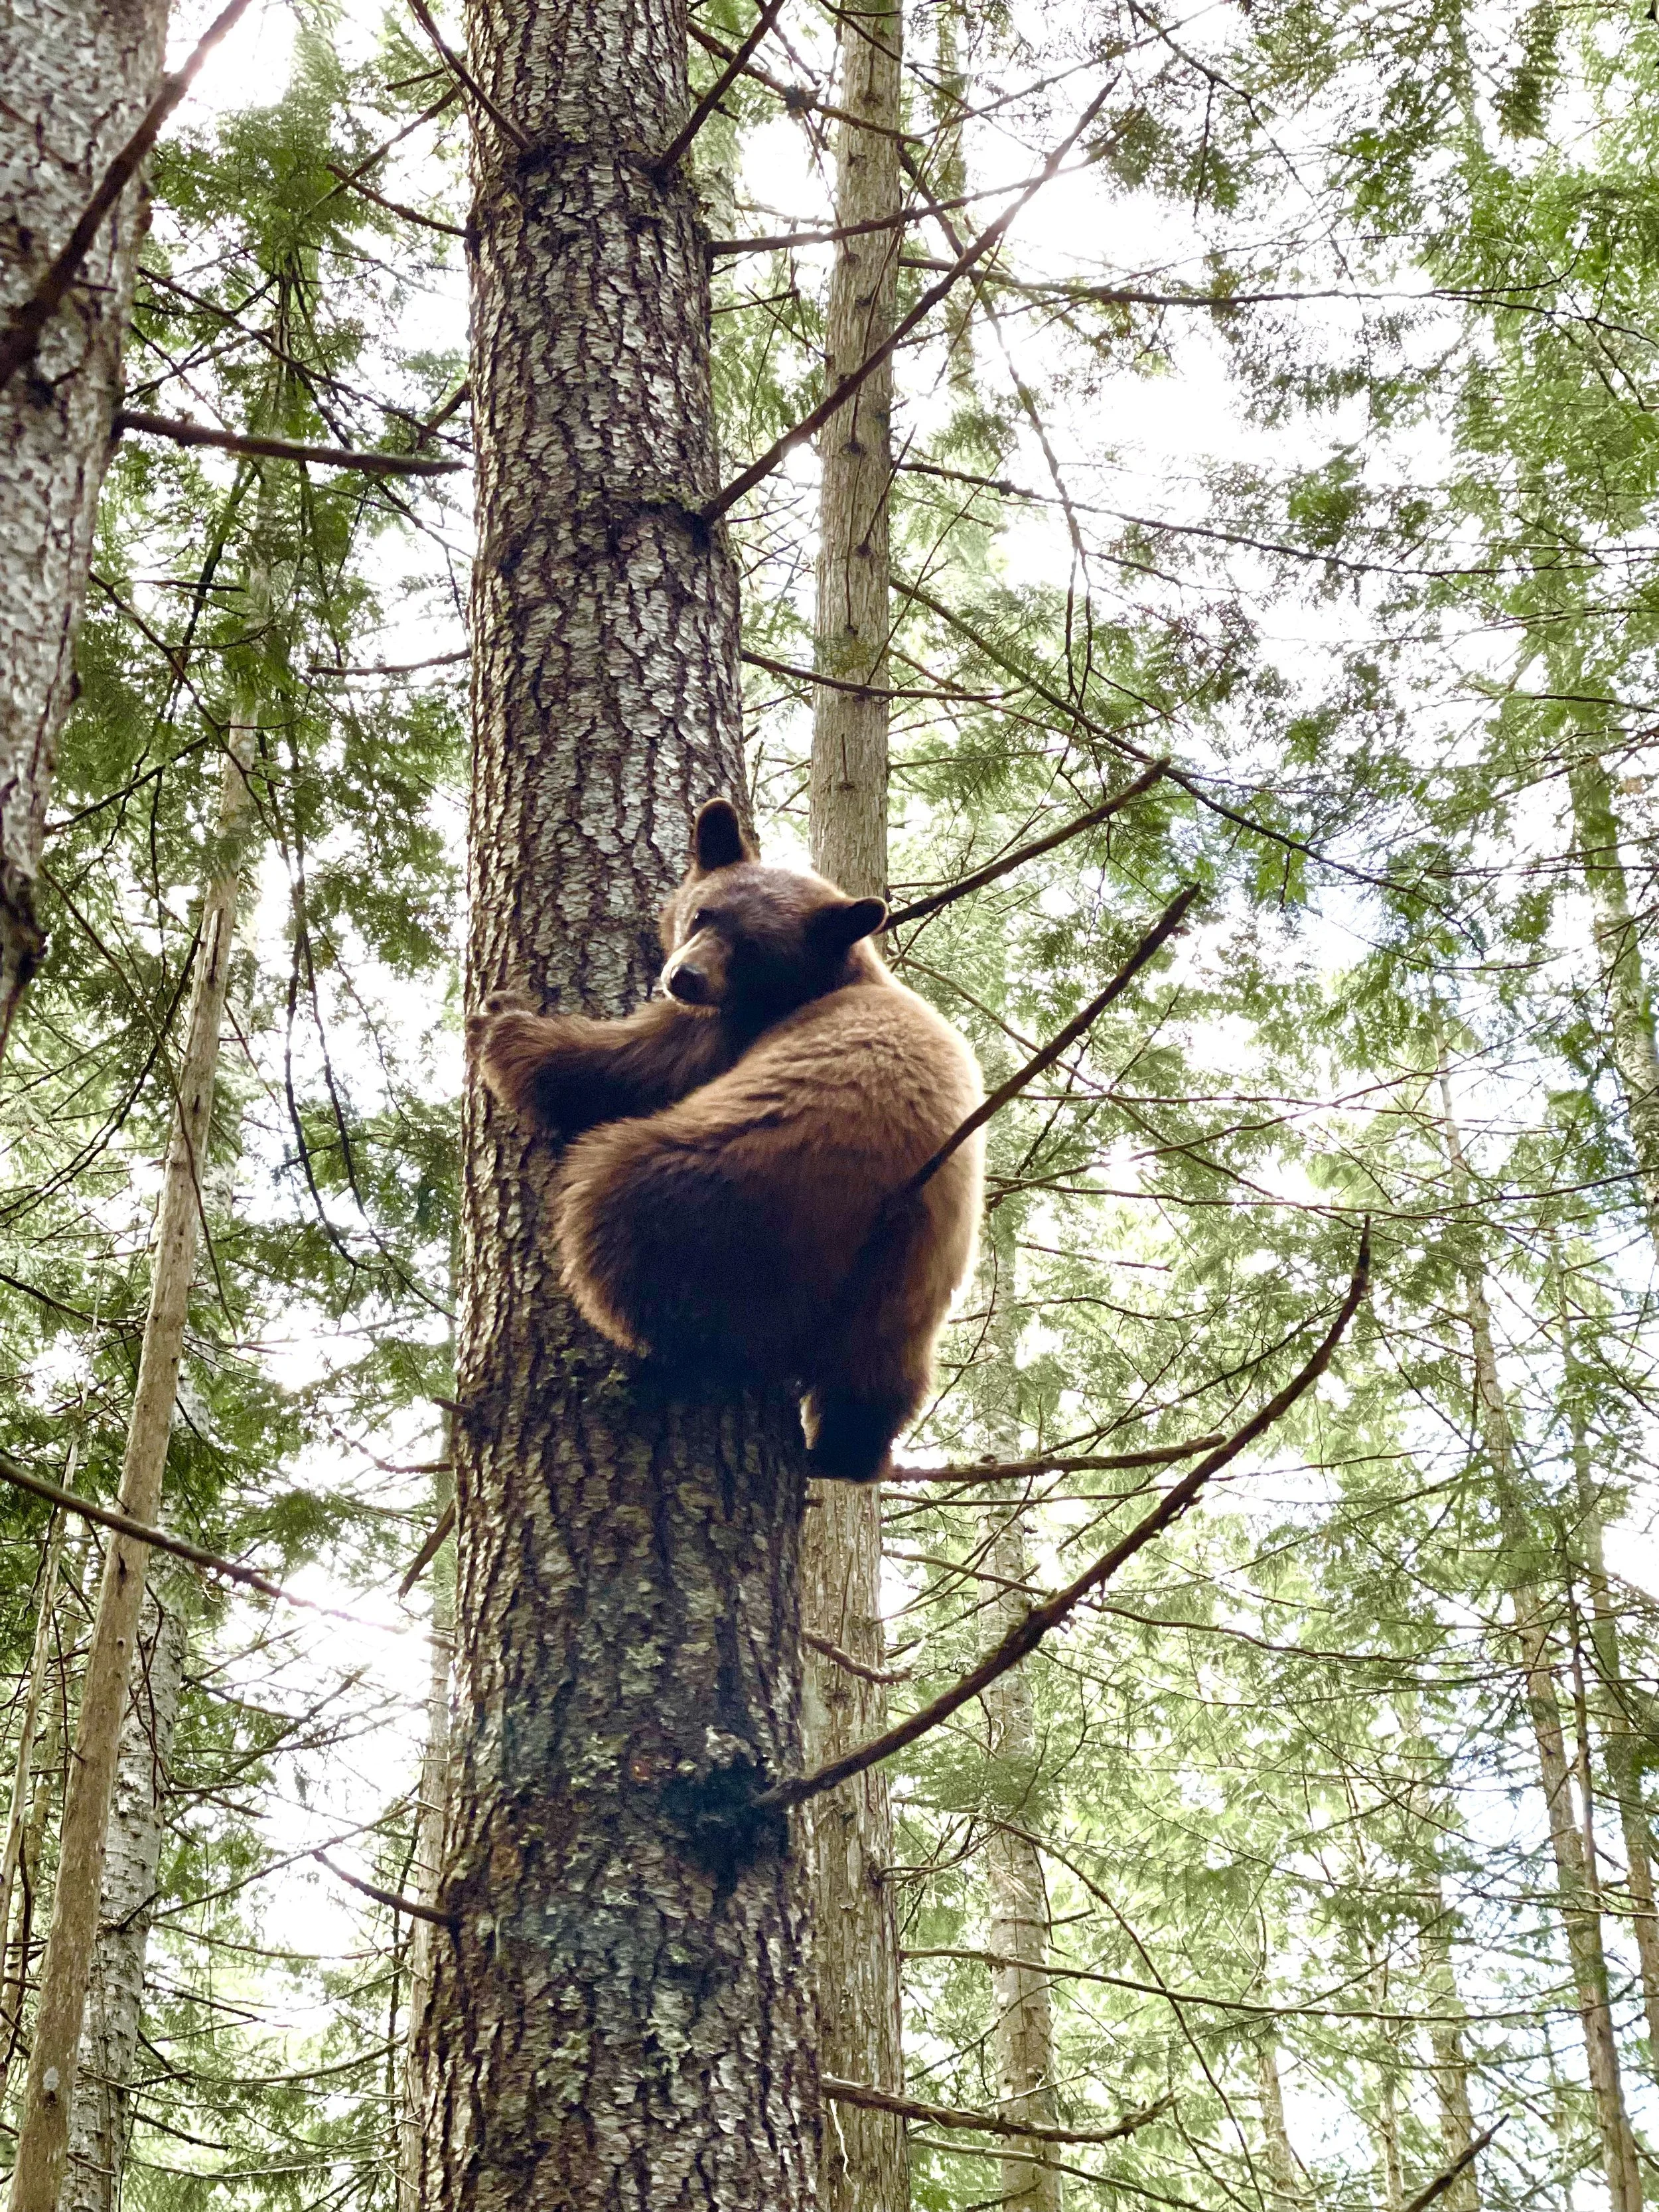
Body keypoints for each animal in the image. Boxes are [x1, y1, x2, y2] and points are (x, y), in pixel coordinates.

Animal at [467, 796, 984, 1482]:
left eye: (754, 948)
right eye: (703, 914)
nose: (684, 976)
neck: (834, 976)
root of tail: (895, 1207)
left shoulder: (726, 1031)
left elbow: (625, 1065)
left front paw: (501, 1020)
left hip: (738, 1188)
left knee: (623, 1204)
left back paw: (635, 1324)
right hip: (905, 1297)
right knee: (878, 1385)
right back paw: (842, 1455)